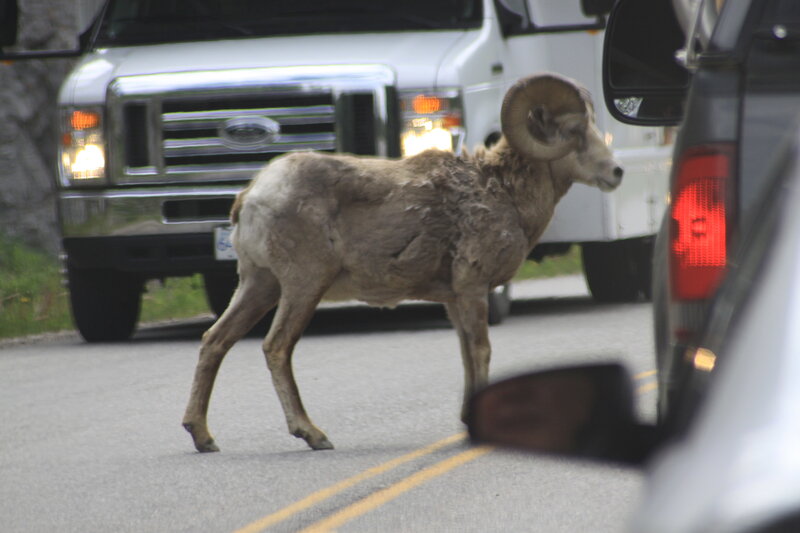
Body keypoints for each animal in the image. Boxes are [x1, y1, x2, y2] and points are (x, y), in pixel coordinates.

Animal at [182, 73, 623, 453]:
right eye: (572, 130)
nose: (616, 172)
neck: (504, 193)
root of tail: (252, 196)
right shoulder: (473, 289)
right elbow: (481, 351)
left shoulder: (454, 300)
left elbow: (466, 354)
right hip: (302, 286)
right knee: (276, 348)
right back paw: (313, 435)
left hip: (259, 285)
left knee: (215, 341)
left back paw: (202, 437)